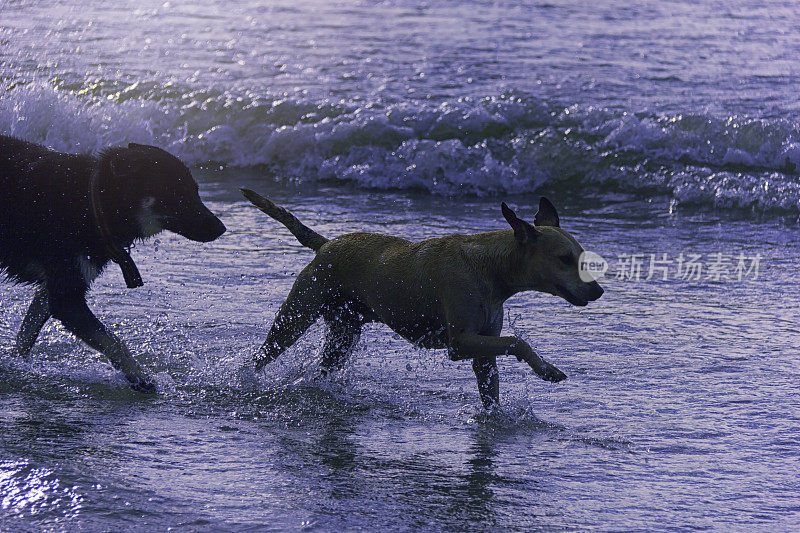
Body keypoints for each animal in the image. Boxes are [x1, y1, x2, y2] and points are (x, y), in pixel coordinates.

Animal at [0, 135, 225, 392]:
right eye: (177, 193)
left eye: (196, 191)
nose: (221, 228)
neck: (91, 201)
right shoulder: (67, 298)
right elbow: (114, 341)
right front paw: (140, 376)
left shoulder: (55, 289)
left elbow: (27, 333)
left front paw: (15, 362)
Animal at [241, 189, 604, 406]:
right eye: (564, 259)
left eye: (581, 257)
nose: (598, 290)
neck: (490, 269)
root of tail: (326, 244)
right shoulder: (460, 342)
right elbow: (518, 341)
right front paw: (547, 370)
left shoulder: (484, 350)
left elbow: (492, 383)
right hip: (297, 315)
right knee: (263, 355)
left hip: (344, 332)